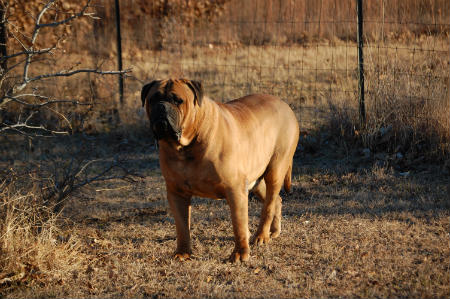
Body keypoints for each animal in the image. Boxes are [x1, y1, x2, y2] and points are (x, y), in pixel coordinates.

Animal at [142, 79, 298, 262]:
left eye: (178, 100)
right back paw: (273, 231)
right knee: (275, 200)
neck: (186, 146)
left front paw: (240, 254)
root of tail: (285, 106)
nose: (161, 107)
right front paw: (182, 252)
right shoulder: (177, 193)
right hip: (255, 179)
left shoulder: (235, 189)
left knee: (269, 204)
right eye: (153, 99)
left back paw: (261, 236)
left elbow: (238, 224)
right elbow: (182, 227)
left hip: (275, 170)